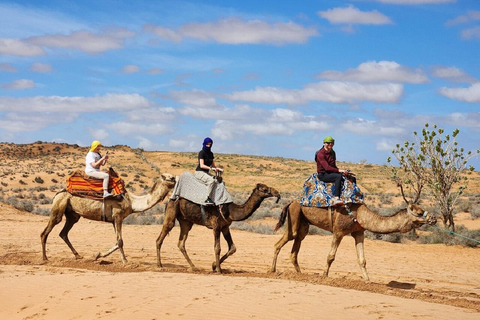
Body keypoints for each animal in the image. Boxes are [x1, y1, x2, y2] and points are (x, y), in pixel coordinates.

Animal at [40, 174, 176, 264]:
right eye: (169, 178)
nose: (176, 179)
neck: (132, 201)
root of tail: (57, 193)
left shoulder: (113, 220)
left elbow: (117, 241)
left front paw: (98, 255)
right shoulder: (118, 216)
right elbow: (120, 241)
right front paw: (125, 261)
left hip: (72, 215)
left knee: (63, 233)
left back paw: (78, 256)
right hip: (58, 207)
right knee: (45, 231)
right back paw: (45, 258)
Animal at [272, 201, 436, 282]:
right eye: (419, 212)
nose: (433, 218)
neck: (361, 215)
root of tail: (290, 203)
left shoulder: (359, 232)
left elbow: (362, 259)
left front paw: (368, 281)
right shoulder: (338, 231)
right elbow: (331, 256)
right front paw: (324, 275)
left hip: (303, 223)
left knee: (296, 245)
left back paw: (300, 274)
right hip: (295, 214)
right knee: (284, 240)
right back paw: (272, 270)